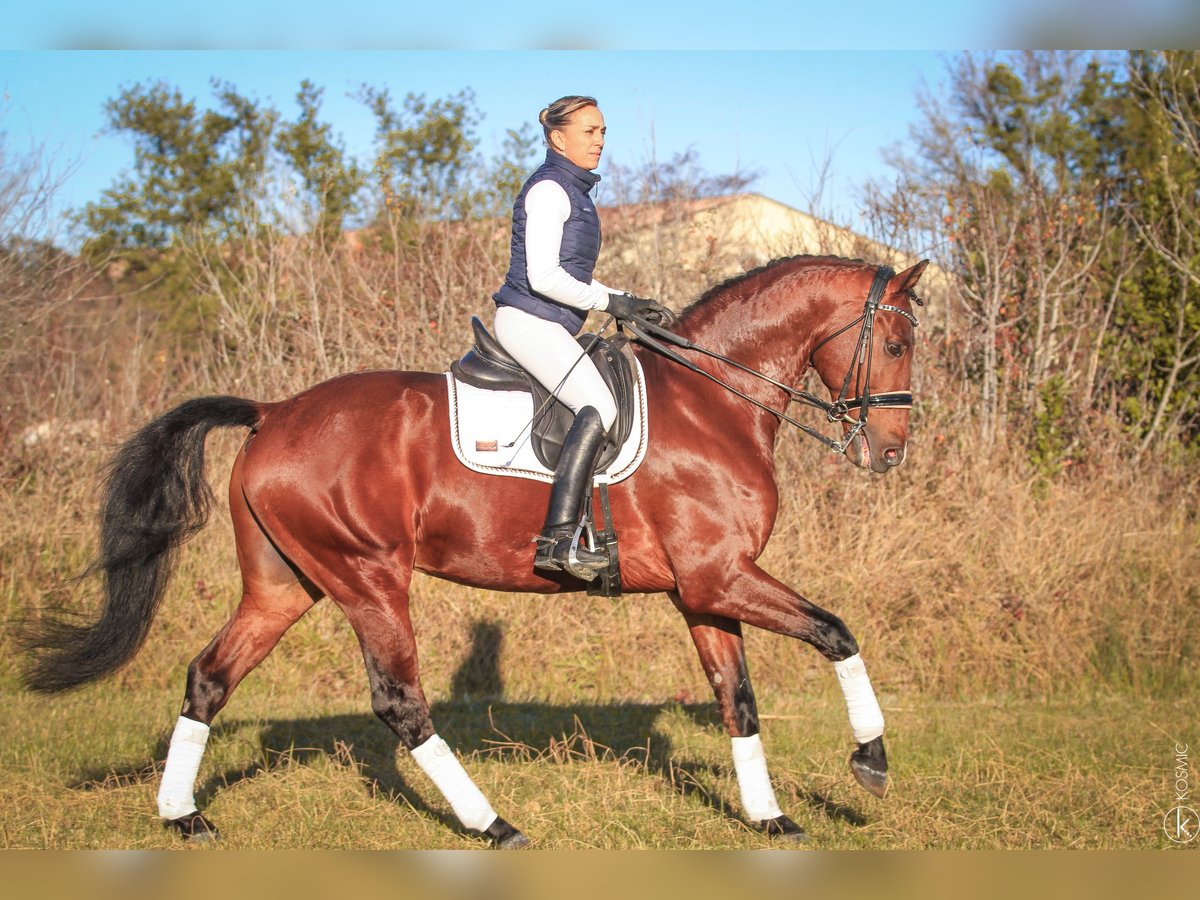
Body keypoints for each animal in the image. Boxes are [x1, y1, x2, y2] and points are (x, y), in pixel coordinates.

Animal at [23, 255, 931, 854]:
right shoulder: (724, 577)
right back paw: (493, 824)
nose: (888, 453)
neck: (714, 403)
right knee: (400, 703)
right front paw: (872, 761)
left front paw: (769, 818)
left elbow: (738, 700)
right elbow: (837, 632)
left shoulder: (703, 591)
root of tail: (274, 412)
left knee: (211, 676)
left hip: (285, 585)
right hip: (368, 577)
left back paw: (184, 817)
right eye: (895, 344)